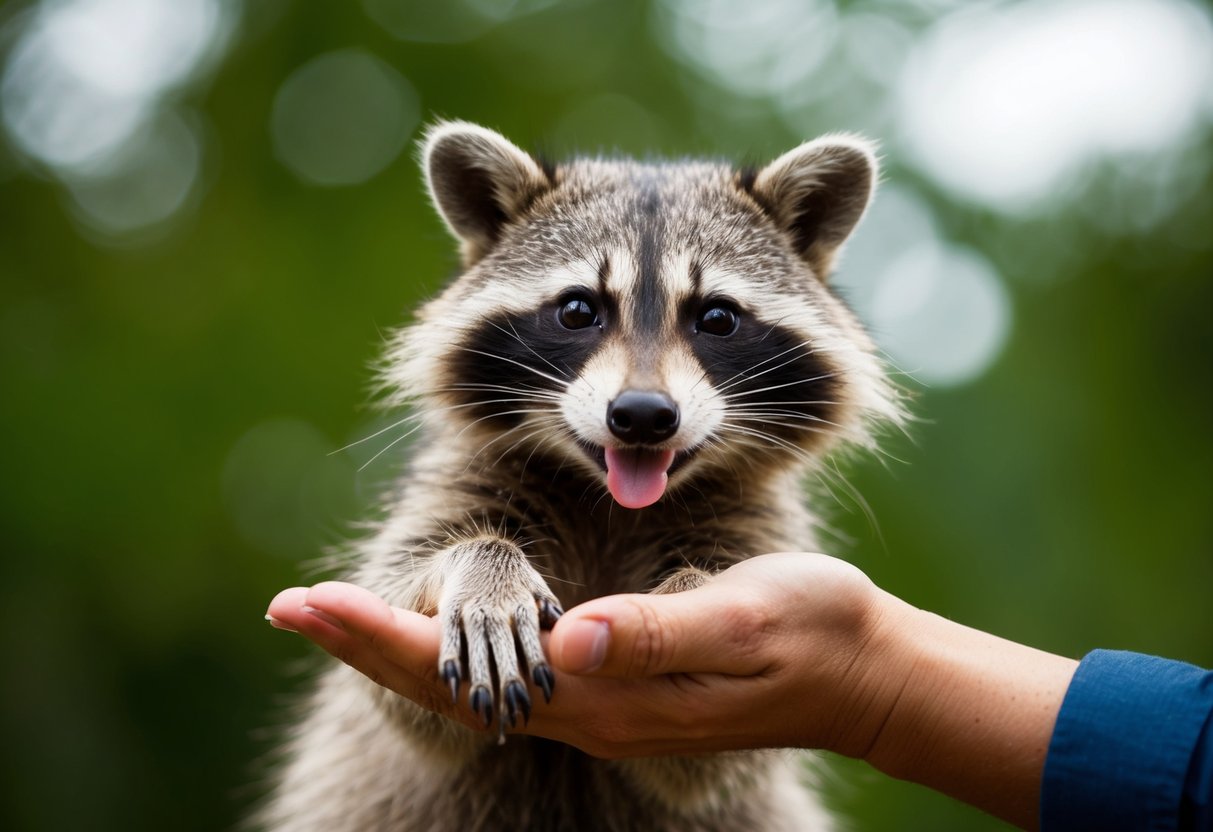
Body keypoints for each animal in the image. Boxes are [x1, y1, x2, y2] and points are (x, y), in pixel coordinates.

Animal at [258, 121, 903, 831]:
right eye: (577, 310)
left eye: (717, 318)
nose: (643, 416)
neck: (613, 501)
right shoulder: (459, 477)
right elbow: (398, 619)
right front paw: (482, 570)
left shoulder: (755, 520)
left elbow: (712, 764)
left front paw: (690, 590)